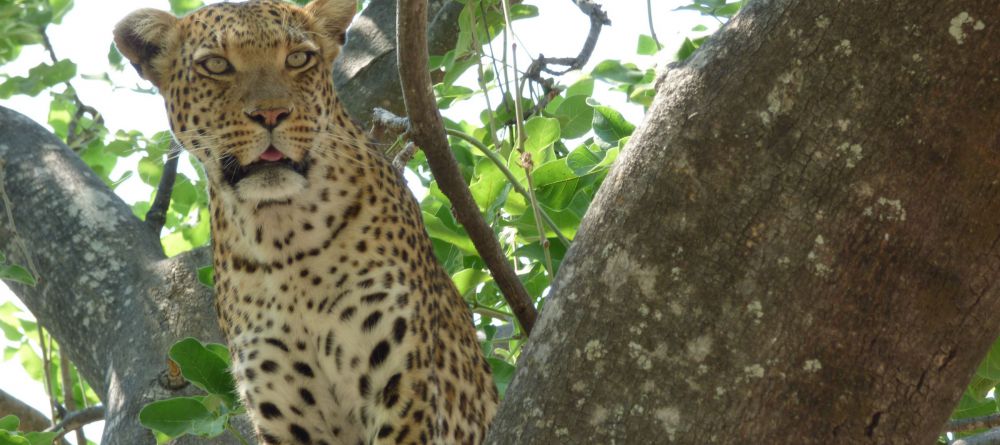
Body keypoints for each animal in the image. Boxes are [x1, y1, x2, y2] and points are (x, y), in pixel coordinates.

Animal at [112, 1, 500, 442]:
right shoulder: (286, 411)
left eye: (298, 58)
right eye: (216, 65)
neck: (282, 234)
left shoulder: (401, 386)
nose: (271, 113)